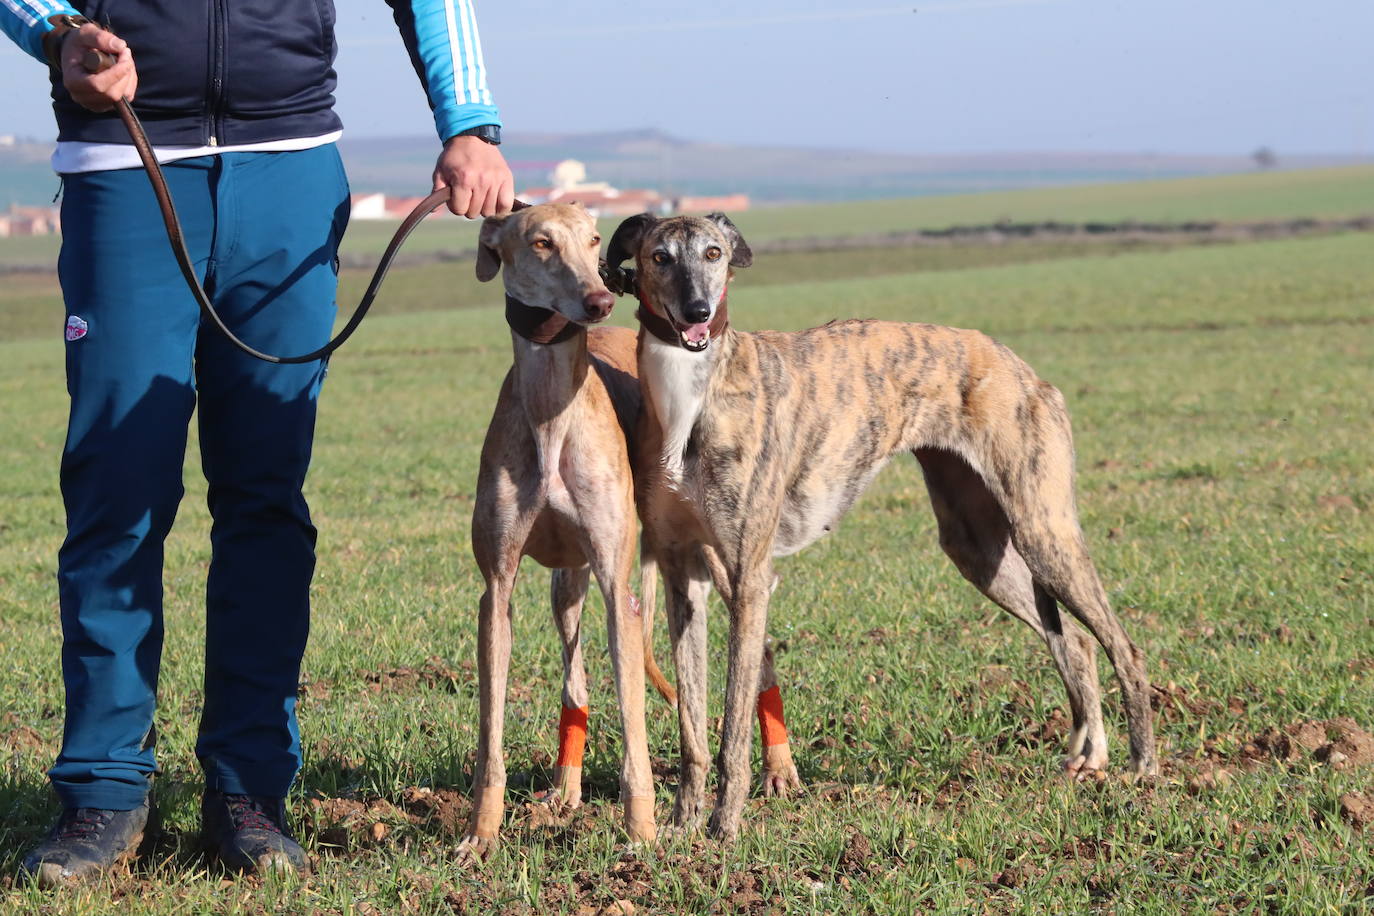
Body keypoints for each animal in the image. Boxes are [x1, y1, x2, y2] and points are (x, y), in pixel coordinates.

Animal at [464, 201, 656, 862]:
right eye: (541, 243)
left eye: (594, 239)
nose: (599, 300)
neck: (551, 413)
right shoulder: (496, 587)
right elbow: (491, 730)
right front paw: (481, 834)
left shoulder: (616, 585)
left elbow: (634, 722)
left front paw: (643, 833)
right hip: (566, 585)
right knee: (574, 684)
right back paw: (565, 793)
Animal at [607, 211, 1154, 840]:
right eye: (660, 257)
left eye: (714, 253)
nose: (698, 310)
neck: (691, 391)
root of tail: (1022, 368)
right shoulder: (683, 575)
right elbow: (693, 728)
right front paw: (682, 824)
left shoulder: (748, 578)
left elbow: (732, 729)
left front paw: (726, 825)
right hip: (977, 548)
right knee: (1078, 647)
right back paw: (1090, 759)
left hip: (1043, 530)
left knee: (1122, 648)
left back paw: (1143, 767)